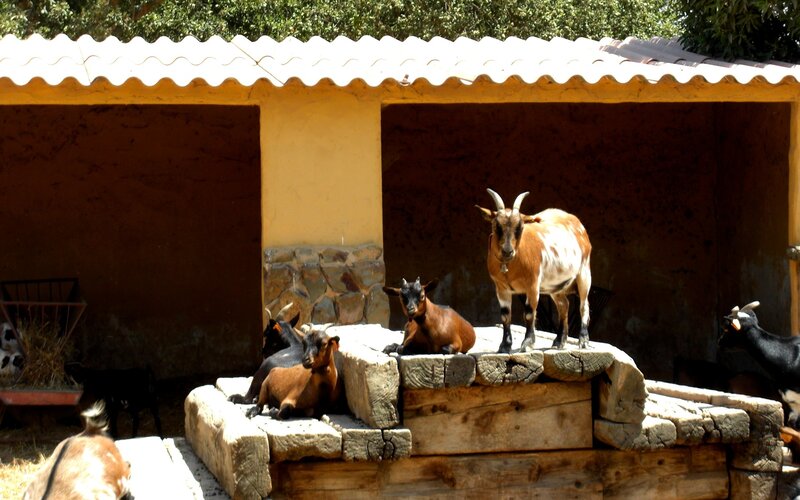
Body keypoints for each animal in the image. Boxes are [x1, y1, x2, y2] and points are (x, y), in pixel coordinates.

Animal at [477, 189, 592, 353]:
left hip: (584, 273)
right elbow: (505, 315)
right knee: (564, 305)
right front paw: (504, 346)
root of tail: (577, 223)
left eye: (520, 228)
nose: (507, 251)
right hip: (555, 286)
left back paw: (583, 340)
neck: (511, 266)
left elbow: (529, 313)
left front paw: (527, 343)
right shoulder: (501, 287)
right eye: (496, 226)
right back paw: (559, 341)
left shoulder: (532, 284)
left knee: (583, 306)